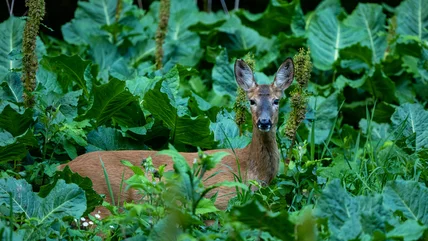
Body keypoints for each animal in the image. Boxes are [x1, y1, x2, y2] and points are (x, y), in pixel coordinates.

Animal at [59, 58, 294, 217]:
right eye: (252, 101)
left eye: (276, 100)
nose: (264, 122)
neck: (249, 169)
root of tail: (62, 168)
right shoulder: (219, 199)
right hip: (100, 198)